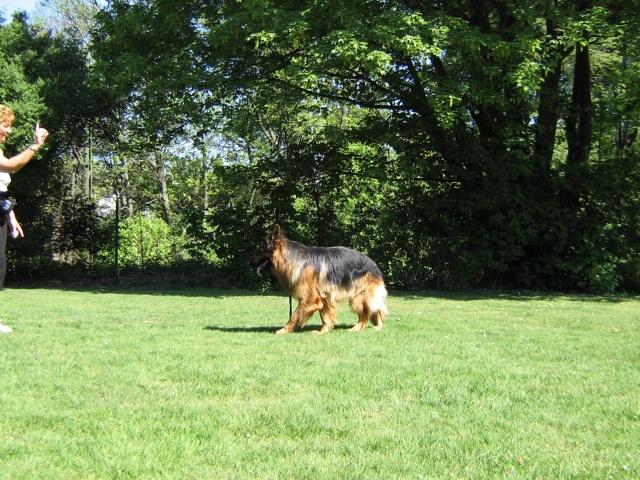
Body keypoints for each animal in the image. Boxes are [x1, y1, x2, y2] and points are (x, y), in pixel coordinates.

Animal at [250, 225, 388, 334]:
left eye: (260, 250)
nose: (249, 262)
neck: (291, 259)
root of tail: (374, 264)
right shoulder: (323, 297)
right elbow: (325, 315)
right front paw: (324, 331)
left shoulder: (310, 298)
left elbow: (295, 315)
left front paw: (284, 330)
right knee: (374, 310)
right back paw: (378, 326)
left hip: (358, 299)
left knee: (365, 313)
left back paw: (357, 328)